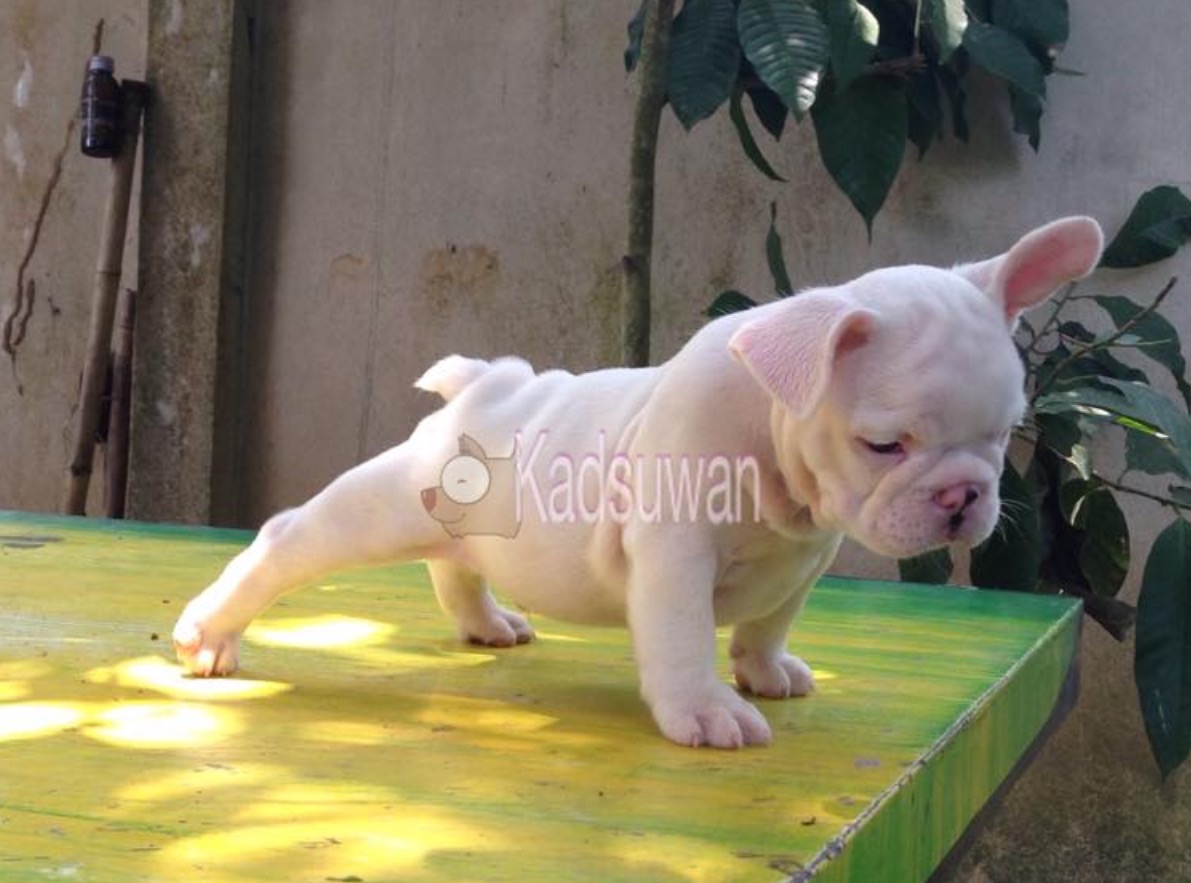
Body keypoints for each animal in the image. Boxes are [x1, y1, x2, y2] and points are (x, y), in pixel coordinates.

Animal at [173, 217, 1103, 748]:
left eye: (1001, 435)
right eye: (884, 444)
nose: (962, 496)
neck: (773, 457)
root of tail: (479, 385)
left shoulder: (802, 560)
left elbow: (767, 622)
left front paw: (766, 669)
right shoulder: (675, 555)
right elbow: (684, 637)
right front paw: (706, 710)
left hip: (465, 515)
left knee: (456, 563)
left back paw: (485, 622)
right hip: (382, 502)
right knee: (288, 539)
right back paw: (211, 631)